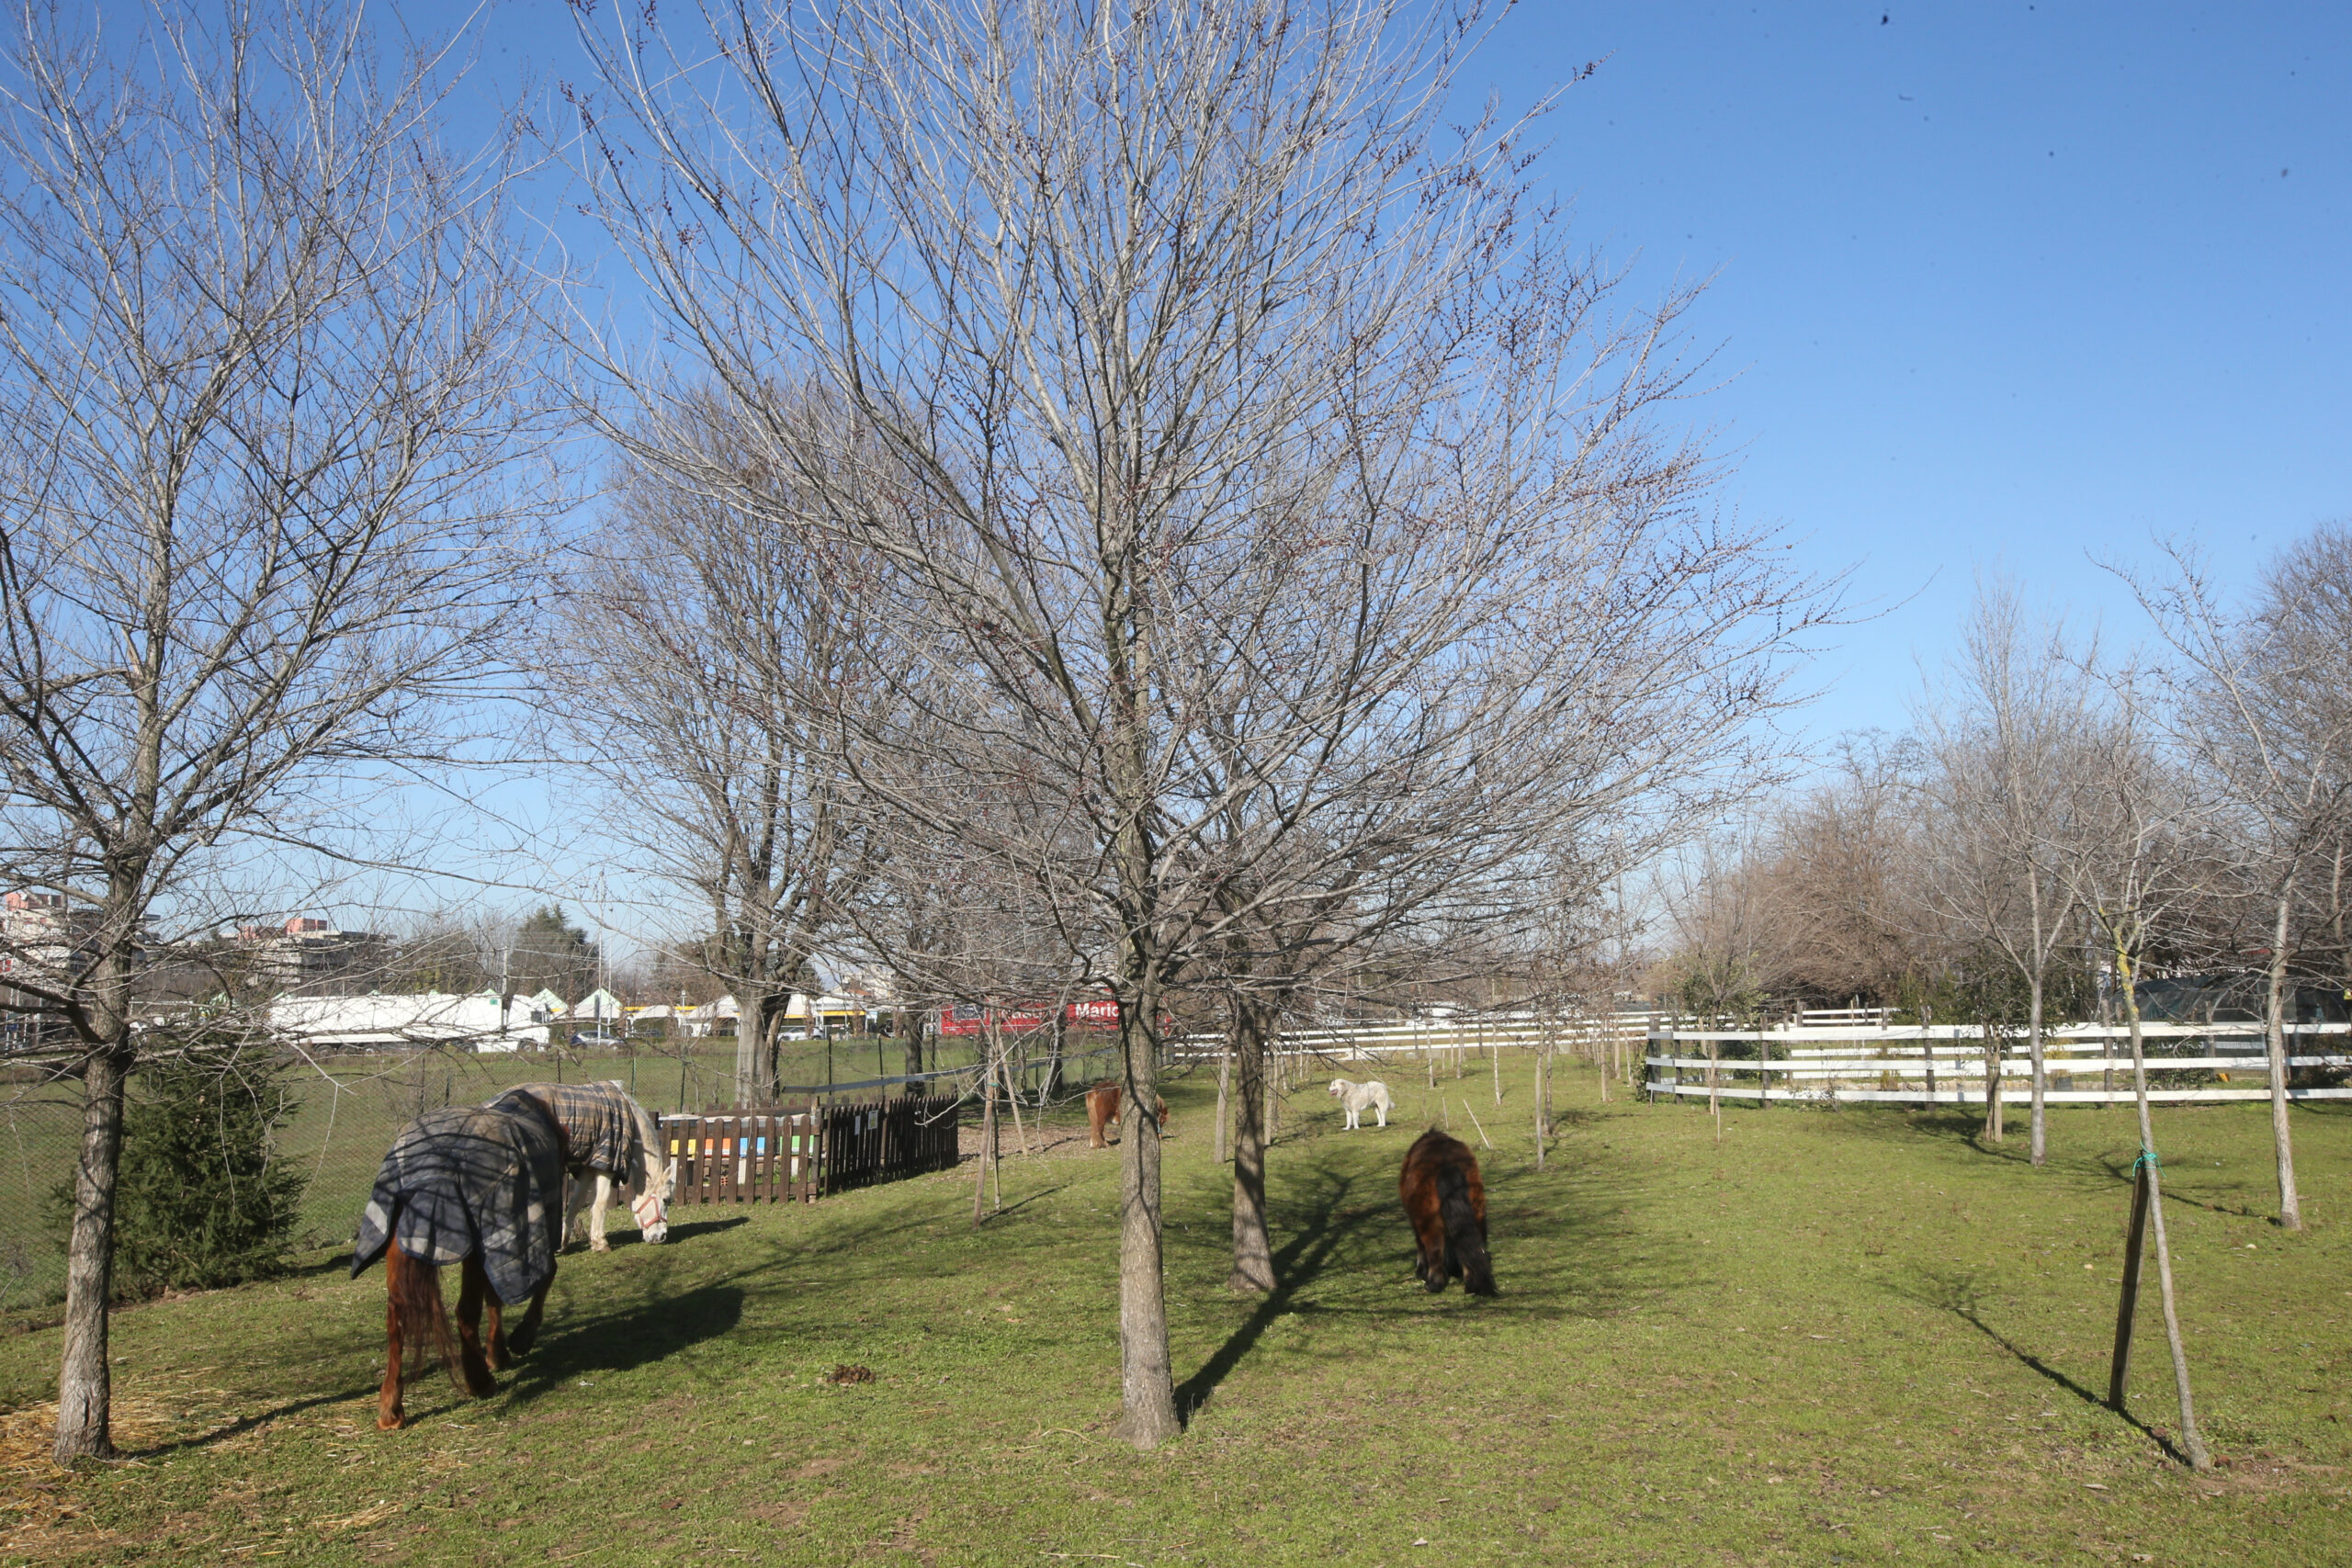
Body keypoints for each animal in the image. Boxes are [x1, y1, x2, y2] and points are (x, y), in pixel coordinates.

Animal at [347, 1100, 569, 1429]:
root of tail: (437, 1165)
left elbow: (495, 1295)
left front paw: (499, 1352)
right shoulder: (513, 1239)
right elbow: (544, 1275)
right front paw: (519, 1340)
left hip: (400, 1243)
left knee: (396, 1318)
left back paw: (391, 1408)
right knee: (466, 1311)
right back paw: (479, 1382)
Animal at [1392, 1133, 1486, 1297]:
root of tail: (1447, 1163)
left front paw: (1422, 1271)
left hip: (1428, 1222)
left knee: (1434, 1249)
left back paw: (1434, 1283)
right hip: (1477, 1213)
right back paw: (1472, 1284)